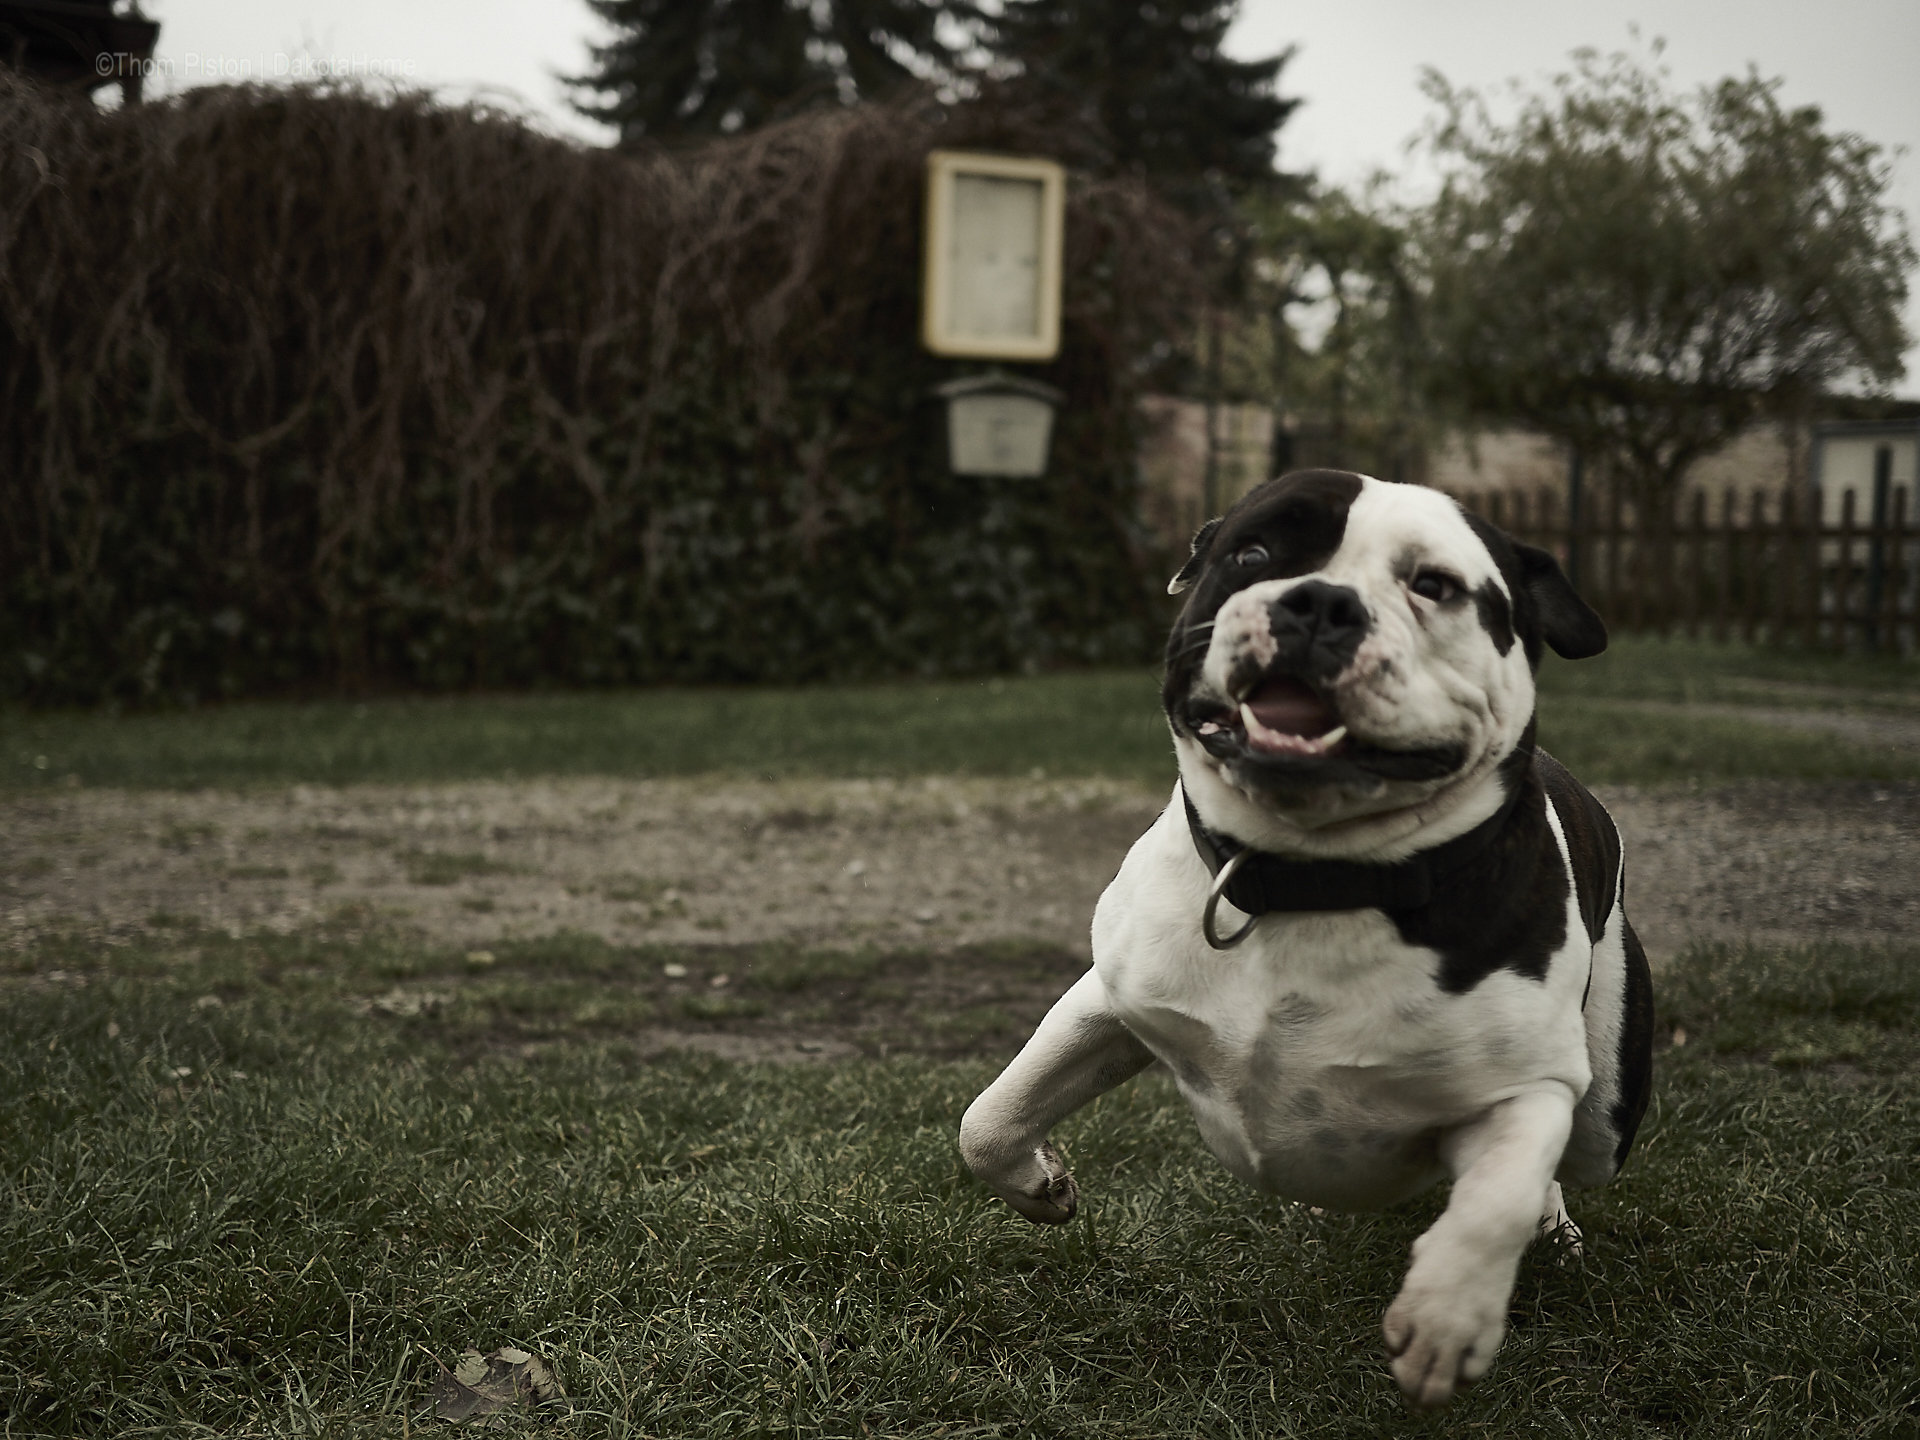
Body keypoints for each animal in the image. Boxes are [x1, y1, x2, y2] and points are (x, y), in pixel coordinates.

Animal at [960, 470, 1651, 1413]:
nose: (1320, 601)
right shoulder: (1111, 1003)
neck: (1308, 878)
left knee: (1563, 1160)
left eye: (1433, 585)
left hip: (1605, 1108)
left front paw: (1449, 1316)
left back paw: (1548, 1227)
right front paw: (1041, 1185)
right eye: (1253, 552)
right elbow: (988, 1117)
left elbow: (1495, 1199)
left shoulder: (1527, 1085)